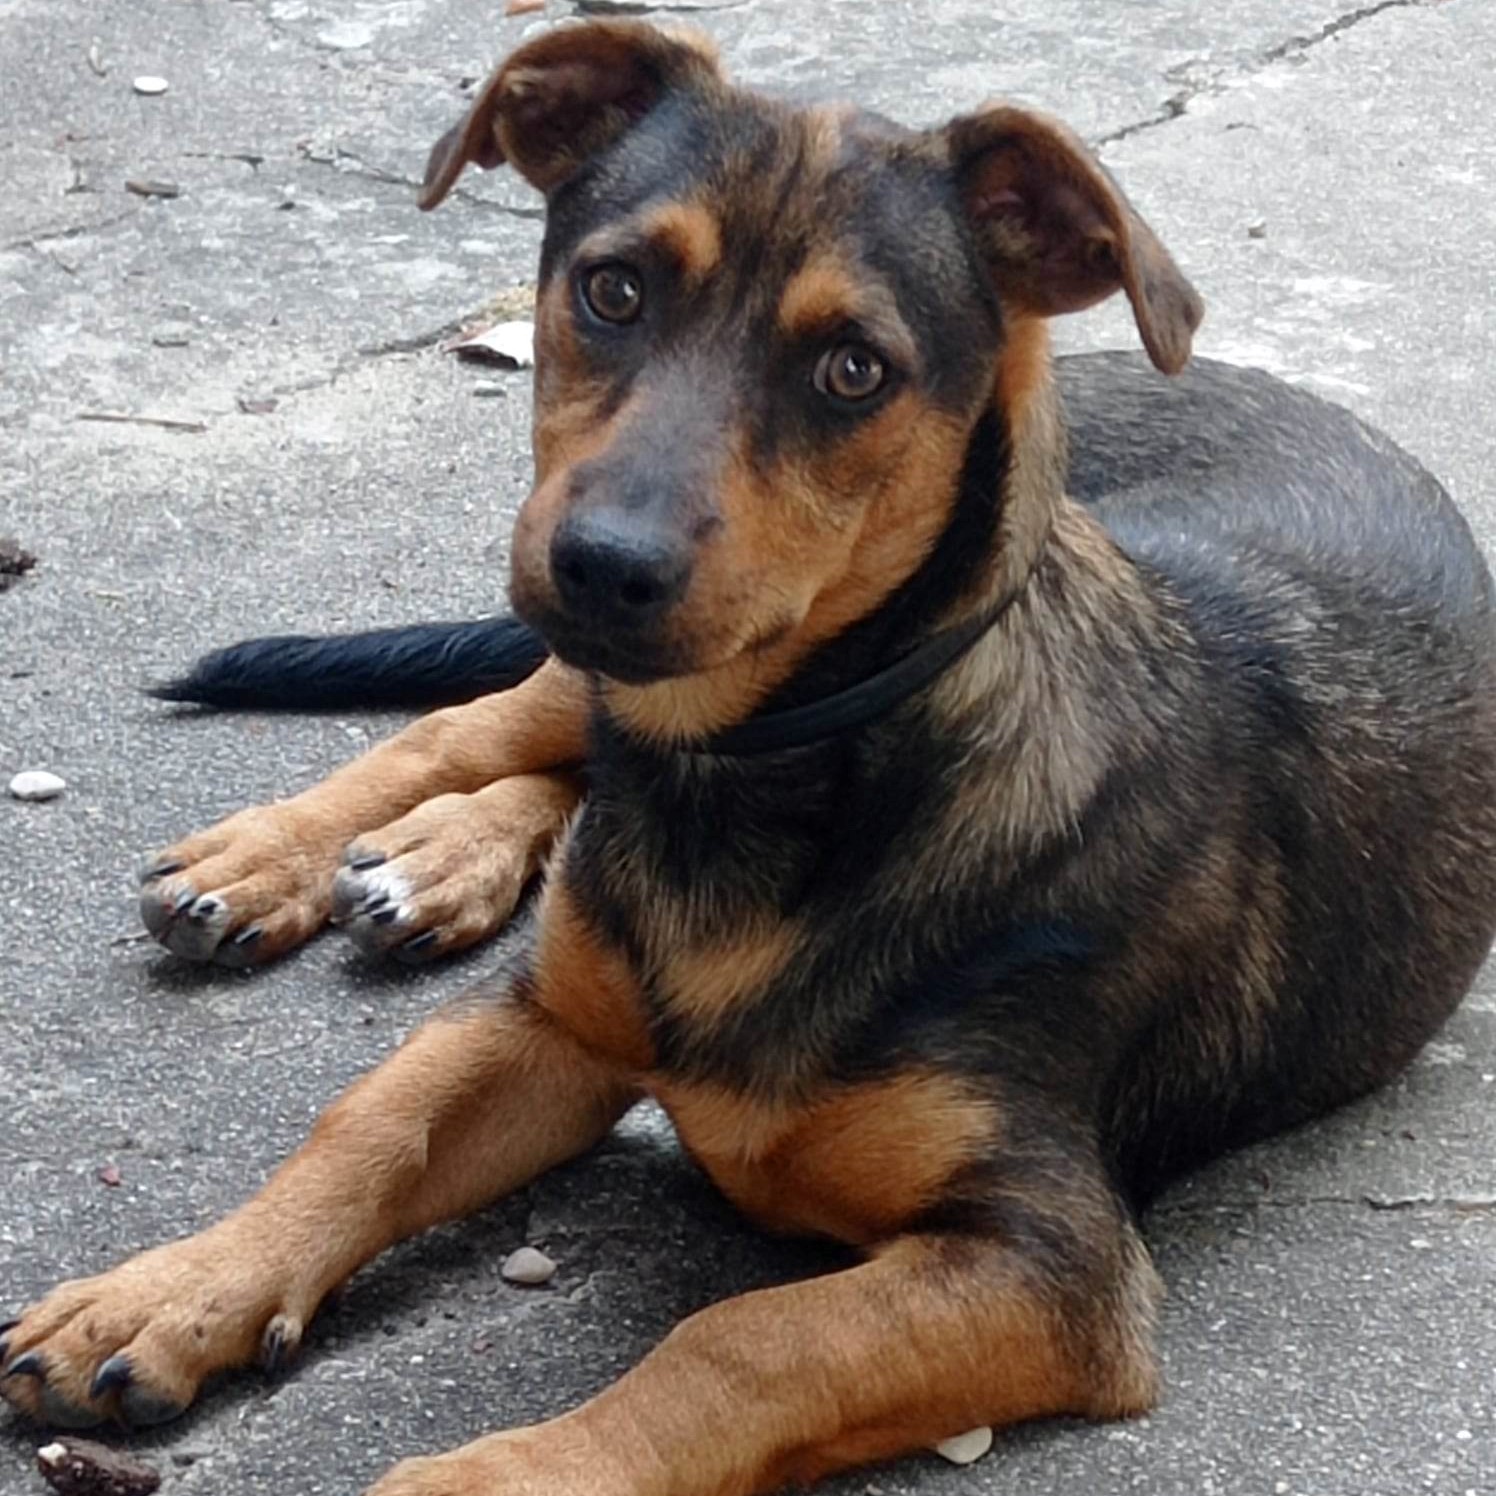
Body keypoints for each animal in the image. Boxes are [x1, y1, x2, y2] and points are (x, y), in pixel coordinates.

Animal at [2, 20, 1496, 1496]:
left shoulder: (1048, 1260)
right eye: (611, 290)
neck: (755, 782)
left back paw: (439, 862)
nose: (603, 566)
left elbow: (737, 1346)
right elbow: (370, 1123)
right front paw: (172, 1289)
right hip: (567, 684)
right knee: (481, 726)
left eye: (854, 370)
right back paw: (286, 858)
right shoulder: (545, 1023)